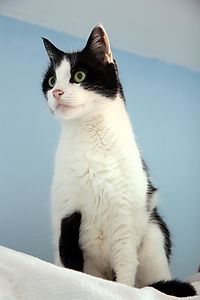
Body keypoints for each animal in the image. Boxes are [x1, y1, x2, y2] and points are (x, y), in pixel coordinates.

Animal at [41, 25, 196, 298]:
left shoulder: (125, 218)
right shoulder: (67, 212)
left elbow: (124, 268)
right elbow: (69, 258)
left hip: (154, 233)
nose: (57, 92)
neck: (89, 135)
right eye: (51, 81)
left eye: (79, 76)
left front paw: (120, 289)